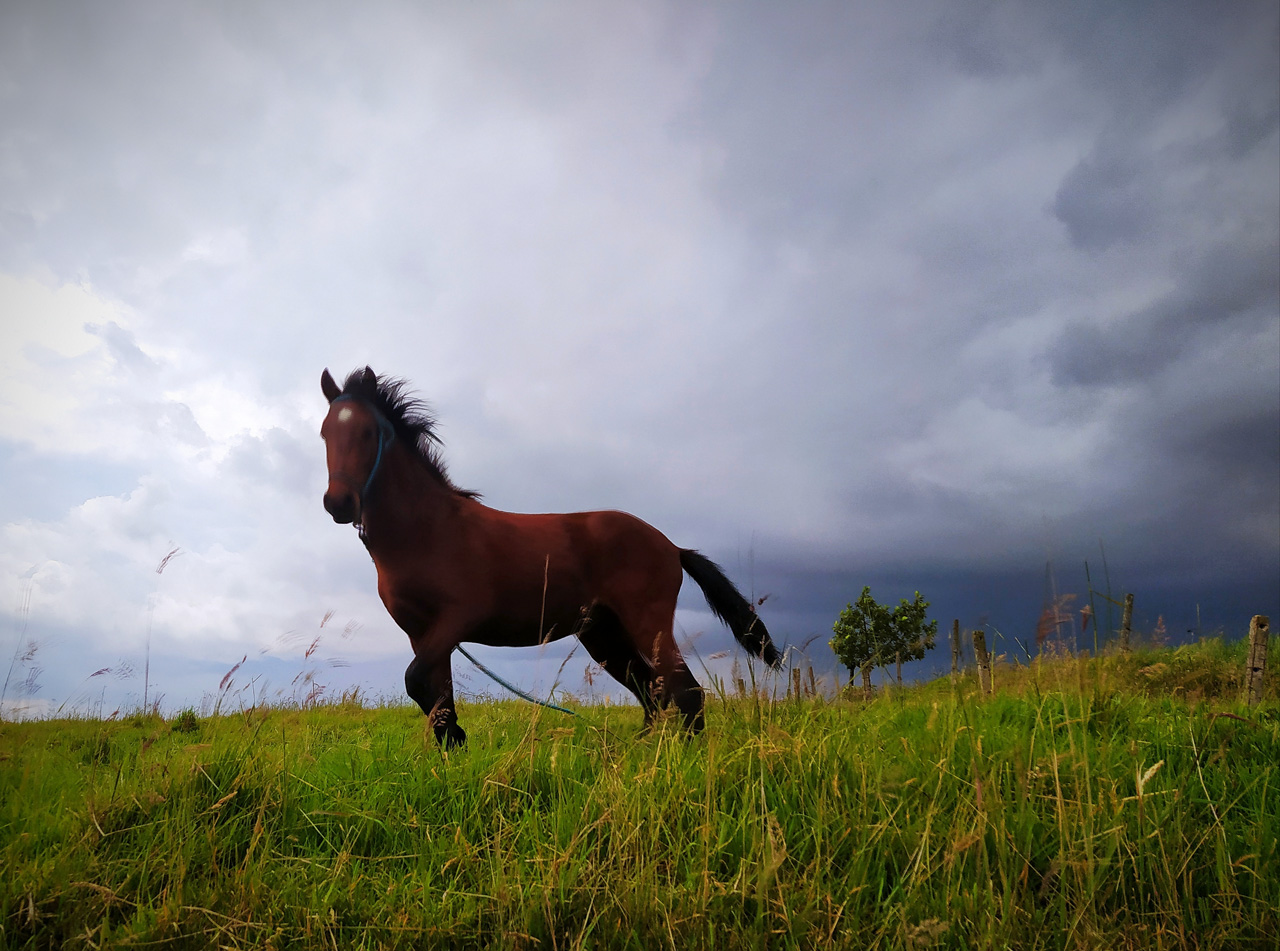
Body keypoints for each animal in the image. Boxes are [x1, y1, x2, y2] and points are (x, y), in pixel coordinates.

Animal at [320, 368, 778, 747]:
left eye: (368, 432)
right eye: (325, 433)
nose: (338, 503)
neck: (427, 530)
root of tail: (672, 546)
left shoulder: (457, 620)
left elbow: (416, 683)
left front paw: (460, 741)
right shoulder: (422, 634)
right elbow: (438, 700)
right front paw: (454, 752)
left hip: (647, 622)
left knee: (685, 690)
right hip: (604, 634)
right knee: (652, 690)